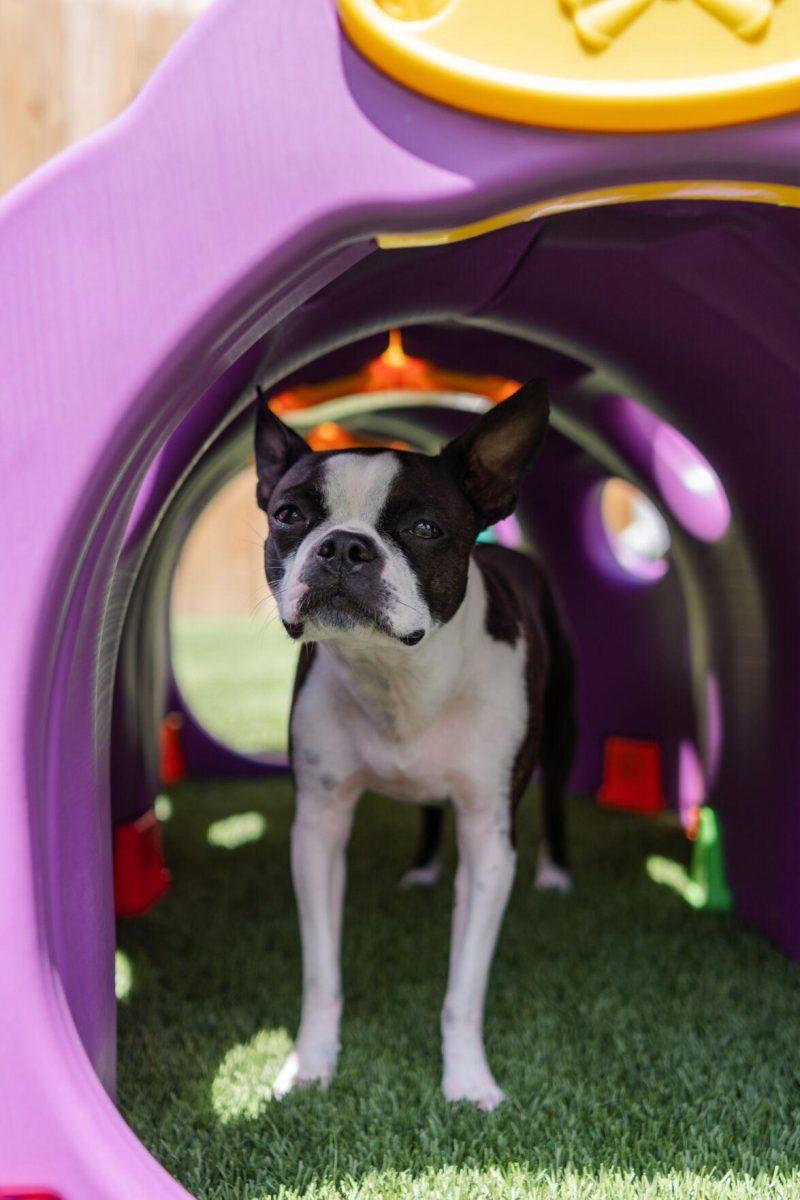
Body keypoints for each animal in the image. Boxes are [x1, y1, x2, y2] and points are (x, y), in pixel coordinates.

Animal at [256, 379, 575, 1108]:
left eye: (425, 529)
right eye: (288, 515)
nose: (343, 546)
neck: (398, 673)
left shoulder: (489, 842)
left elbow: (464, 988)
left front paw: (469, 1082)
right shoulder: (318, 828)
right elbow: (322, 973)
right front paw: (310, 1065)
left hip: (563, 730)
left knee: (557, 799)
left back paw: (556, 873)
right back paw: (424, 869)